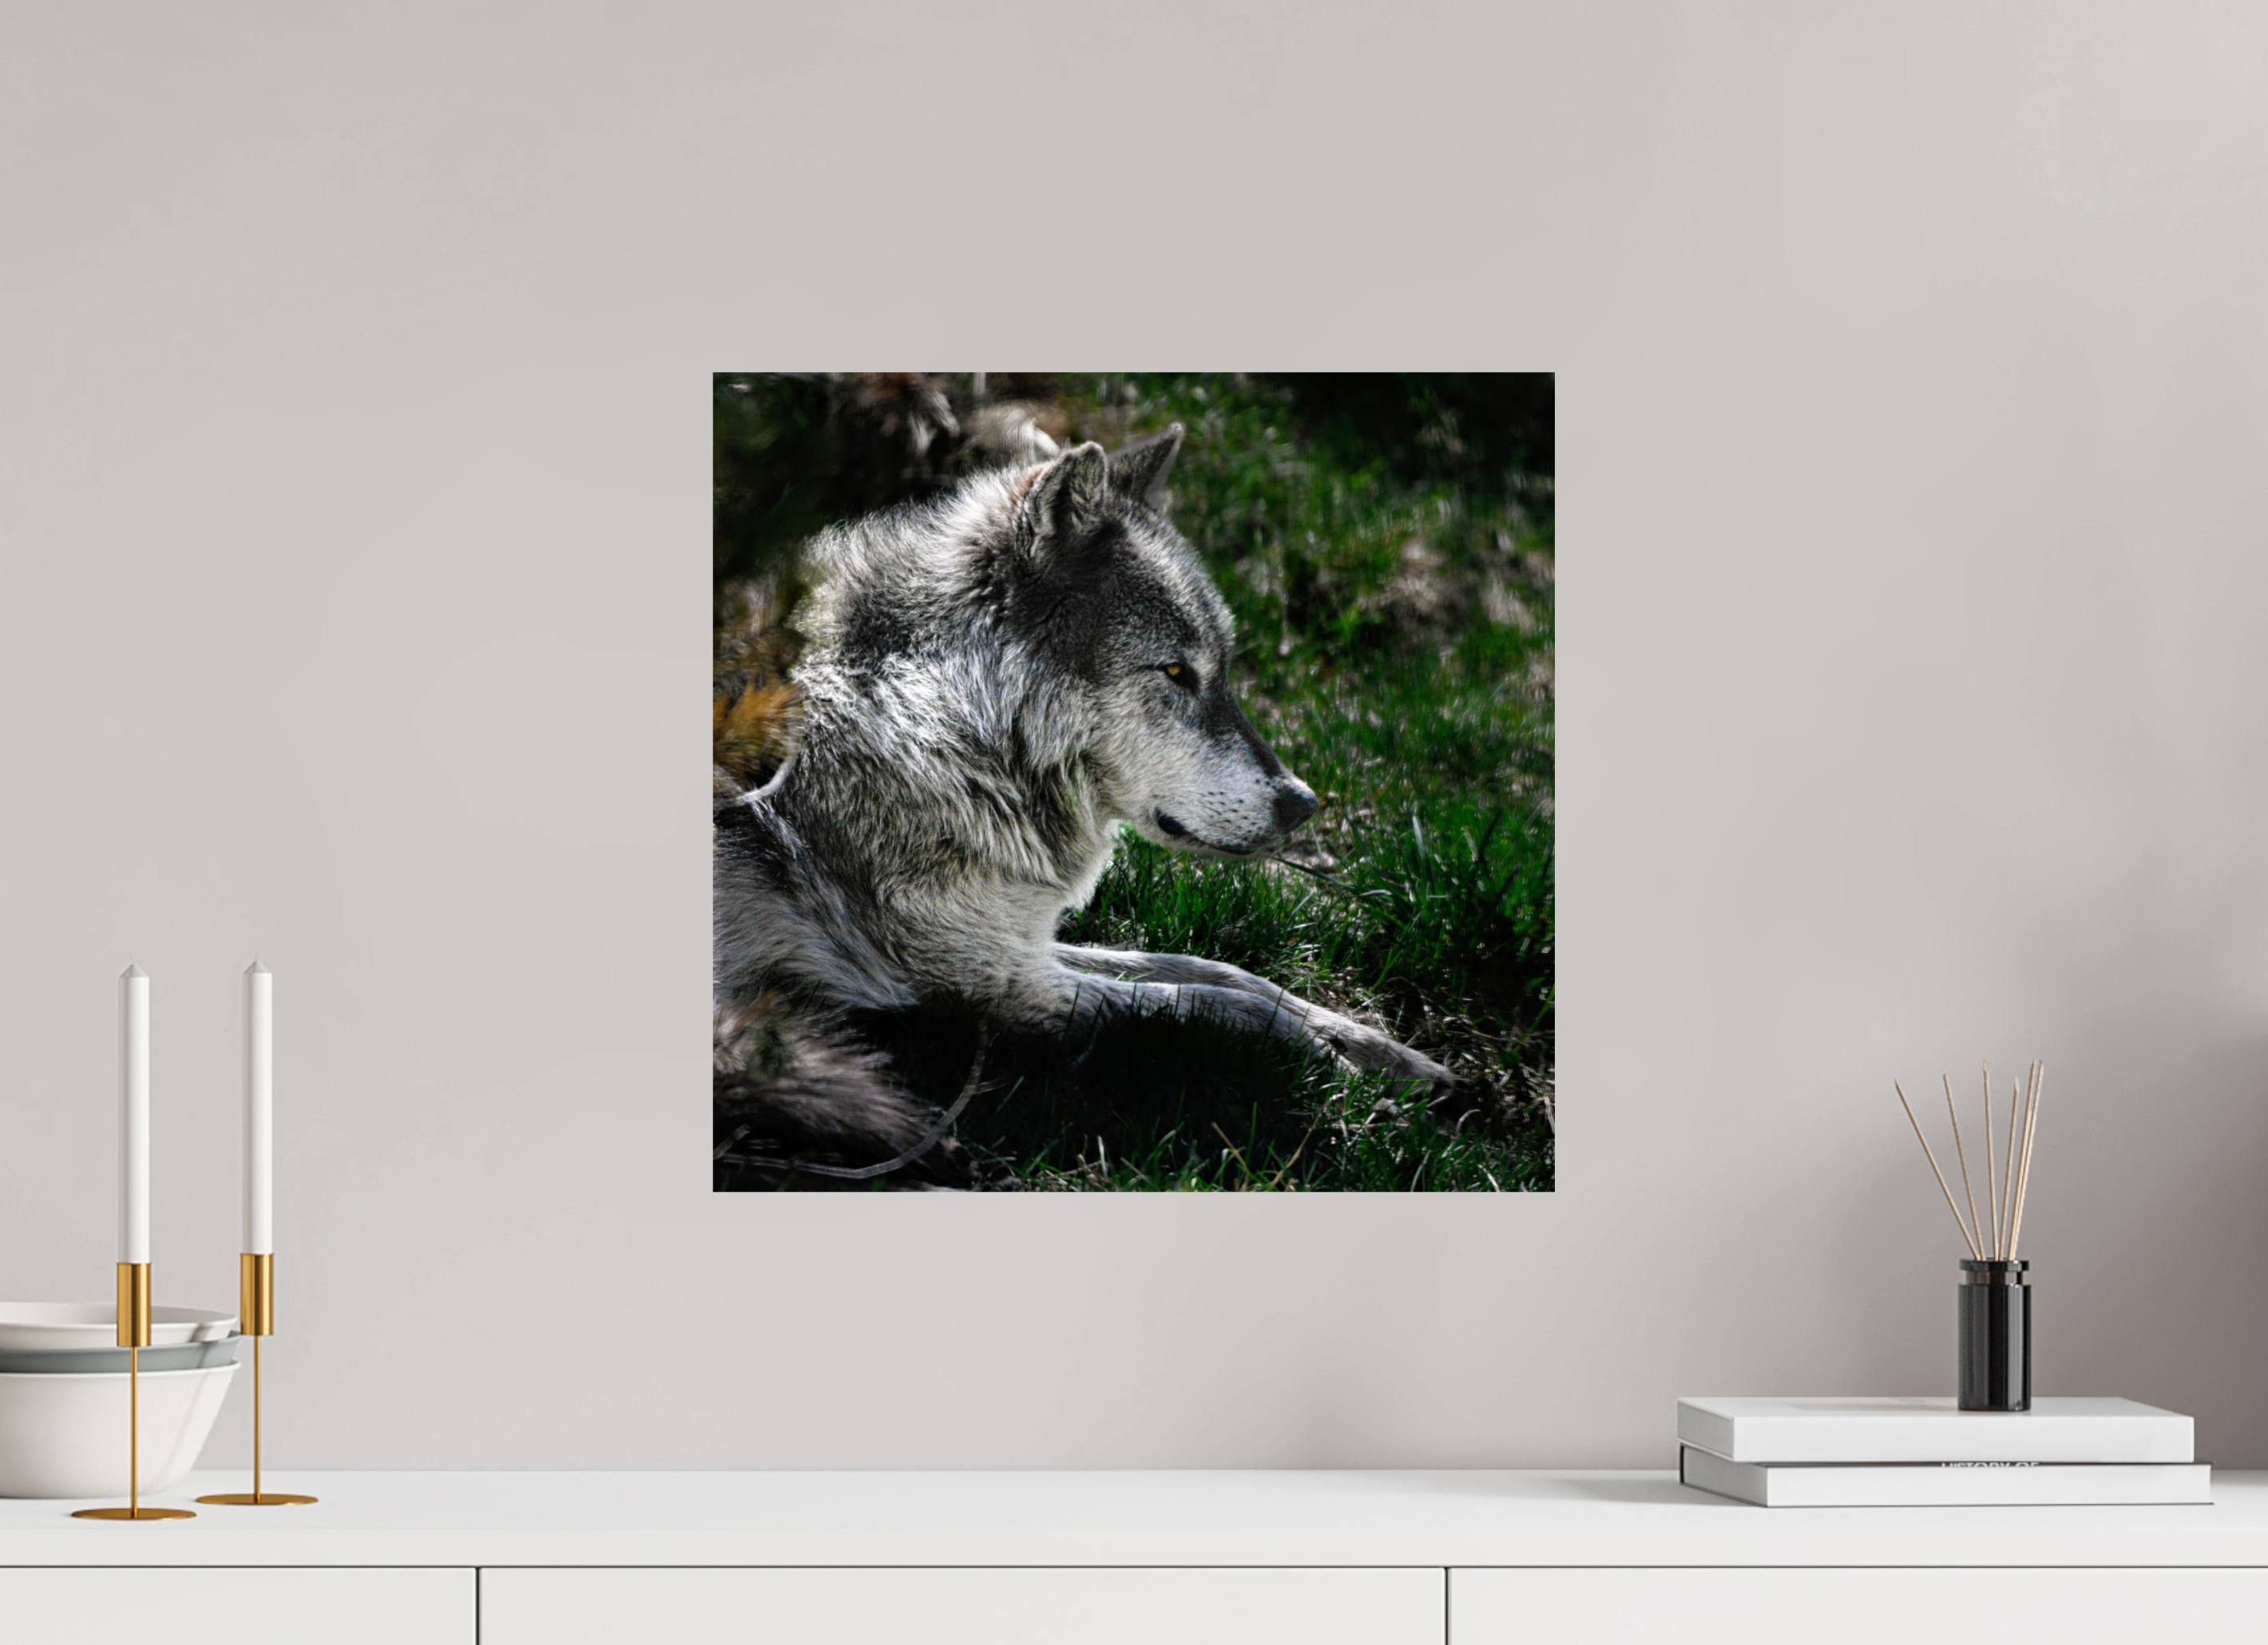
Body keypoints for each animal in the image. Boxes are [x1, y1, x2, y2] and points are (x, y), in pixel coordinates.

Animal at [713, 425, 1451, 1087]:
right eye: (1176, 672)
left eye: (1222, 671)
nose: (1304, 803)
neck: (931, 718)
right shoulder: (993, 985)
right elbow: (1214, 1005)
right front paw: (1329, 1064)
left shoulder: (1020, 943)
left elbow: (1219, 971)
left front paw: (1384, 1051)